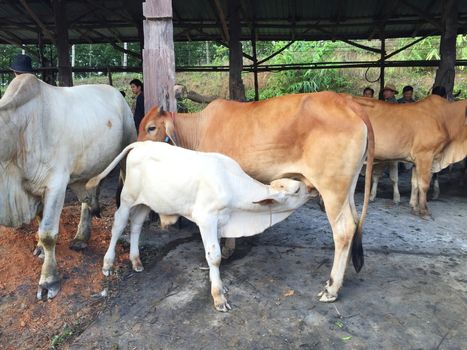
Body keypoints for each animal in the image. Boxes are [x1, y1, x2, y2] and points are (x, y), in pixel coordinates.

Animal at [0, 74, 138, 298]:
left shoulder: (56, 184)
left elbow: (48, 233)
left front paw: (48, 281)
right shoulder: (36, 188)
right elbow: (40, 222)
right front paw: (39, 248)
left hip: (127, 153)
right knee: (88, 199)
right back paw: (82, 236)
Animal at [86, 142, 312, 312]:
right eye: (297, 189)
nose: (313, 188)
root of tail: (141, 143)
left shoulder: (221, 222)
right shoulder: (206, 219)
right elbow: (215, 257)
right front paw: (218, 296)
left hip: (146, 202)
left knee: (136, 225)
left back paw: (136, 260)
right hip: (127, 198)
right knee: (118, 225)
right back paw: (107, 264)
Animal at [137, 91, 374, 302]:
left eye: (151, 127)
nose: (136, 148)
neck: (198, 129)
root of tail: (349, 103)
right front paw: (228, 250)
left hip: (332, 188)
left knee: (343, 231)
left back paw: (331, 288)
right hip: (347, 188)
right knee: (354, 222)